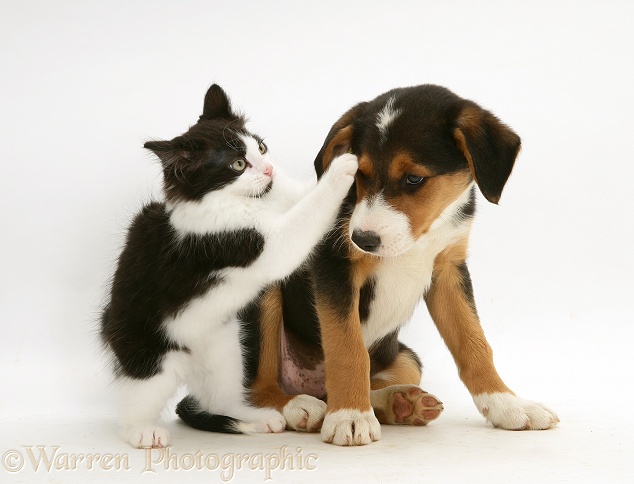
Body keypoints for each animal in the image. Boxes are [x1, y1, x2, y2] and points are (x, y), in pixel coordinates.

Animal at [99, 84, 356, 450]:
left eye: (260, 148)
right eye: (238, 164)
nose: (269, 170)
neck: (242, 202)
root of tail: (188, 364)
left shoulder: (281, 196)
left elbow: (305, 194)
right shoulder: (247, 243)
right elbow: (305, 217)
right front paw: (342, 169)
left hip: (226, 345)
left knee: (218, 399)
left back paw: (258, 418)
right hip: (148, 352)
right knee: (139, 397)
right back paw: (143, 432)